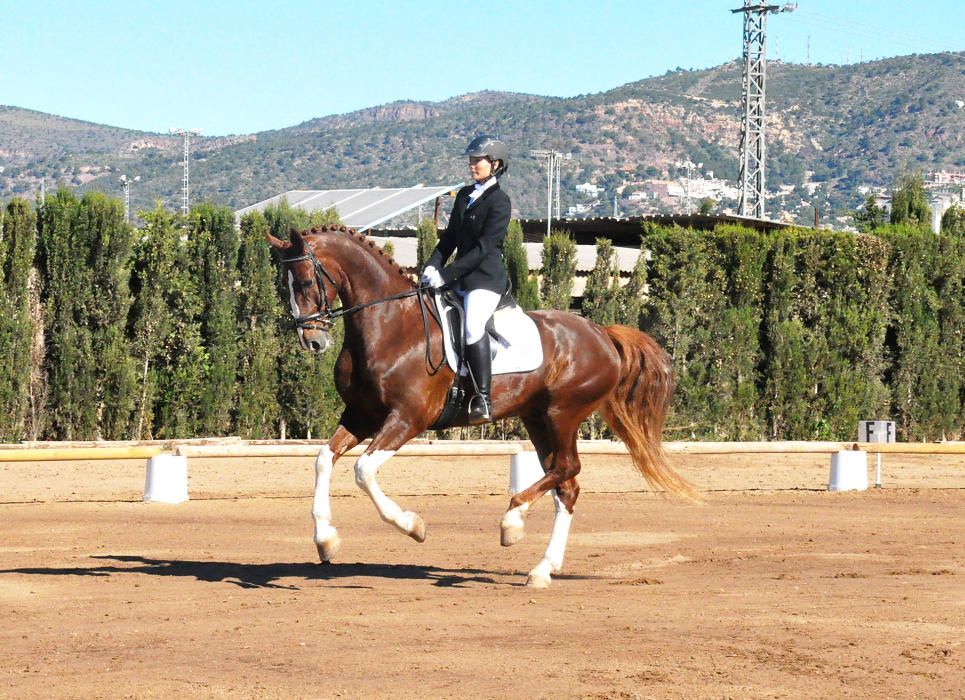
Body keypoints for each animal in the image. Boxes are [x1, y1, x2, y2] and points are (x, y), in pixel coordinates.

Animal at [268, 227, 696, 588]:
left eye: (305, 281)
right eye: (283, 284)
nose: (312, 341)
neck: (389, 325)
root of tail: (601, 334)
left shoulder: (407, 419)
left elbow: (363, 470)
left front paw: (413, 526)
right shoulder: (361, 416)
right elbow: (323, 460)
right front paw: (326, 540)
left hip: (562, 414)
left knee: (567, 470)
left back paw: (512, 523)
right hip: (537, 418)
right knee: (566, 485)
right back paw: (542, 568)